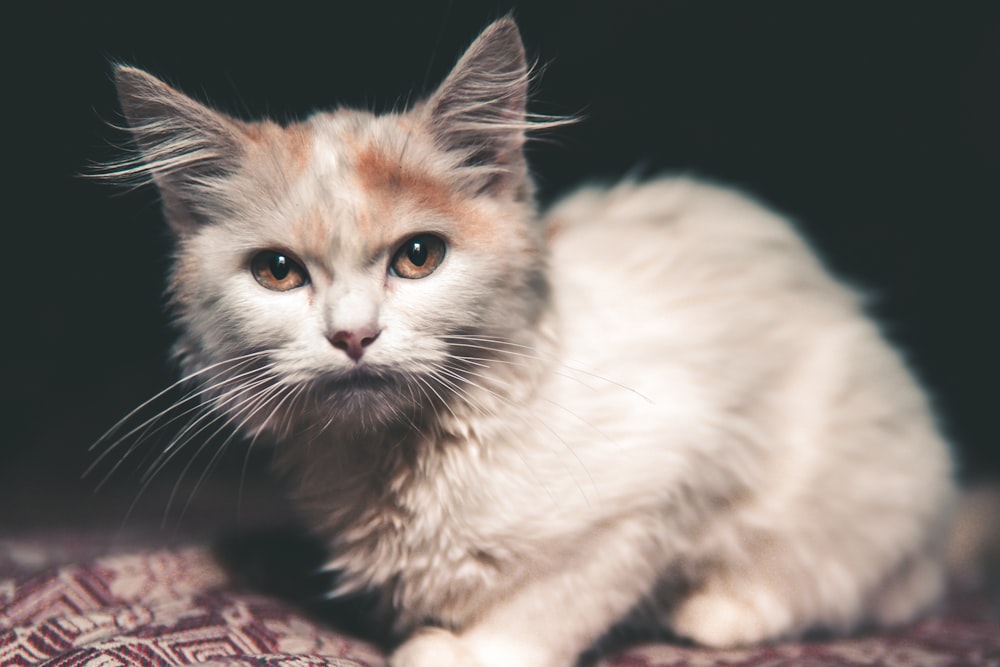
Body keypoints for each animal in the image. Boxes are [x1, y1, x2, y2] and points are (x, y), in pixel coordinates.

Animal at [105, 18, 956, 667]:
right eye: (278, 272)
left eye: (419, 257)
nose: (353, 334)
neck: (403, 461)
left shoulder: (660, 484)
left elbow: (552, 605)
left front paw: (455, 650)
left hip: (858, 490)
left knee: (859, 582)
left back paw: (720, 608)